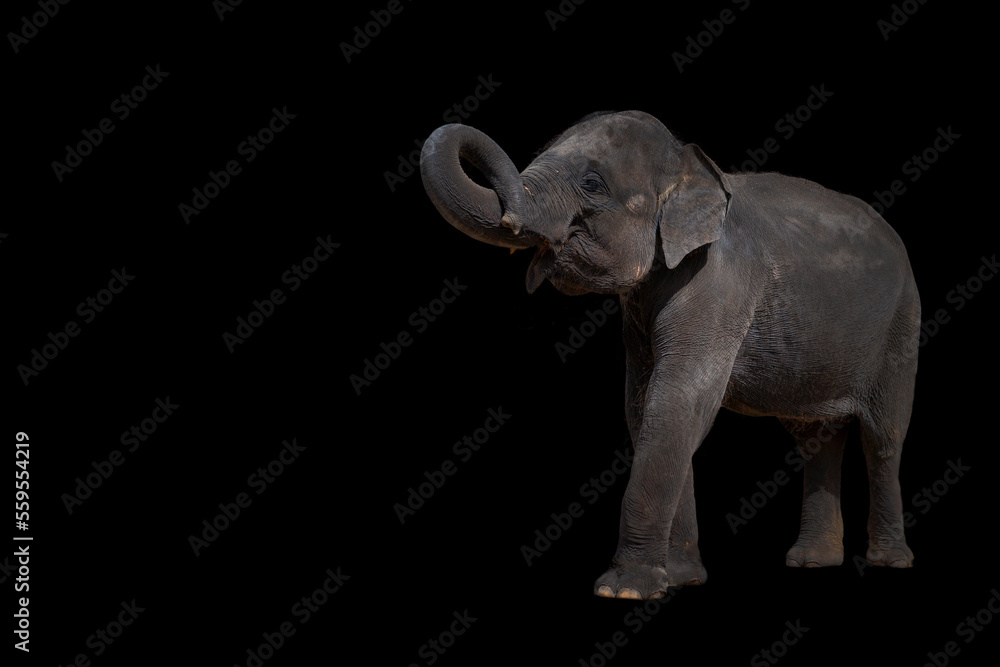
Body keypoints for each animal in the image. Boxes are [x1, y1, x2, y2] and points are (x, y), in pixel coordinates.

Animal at [419, 110, 920, 599]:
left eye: (592, 183)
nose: (510, 221)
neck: (689, 164)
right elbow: (643, 407)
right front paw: (680, 579)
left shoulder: (720, 281)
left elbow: (679, 400)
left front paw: (625, 590)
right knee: (816, 438)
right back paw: (811, 562)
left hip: (902, 327)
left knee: (883, 437)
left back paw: (890, 561)